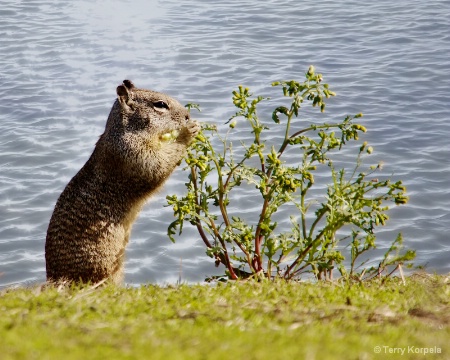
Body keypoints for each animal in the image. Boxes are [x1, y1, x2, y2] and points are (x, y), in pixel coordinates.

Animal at [45, 81, 200, 284]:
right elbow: (157, 164)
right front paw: (188, 132)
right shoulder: (132, 152)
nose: (188, 116)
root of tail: (54, 278)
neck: (121, 130)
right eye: (160, 104)